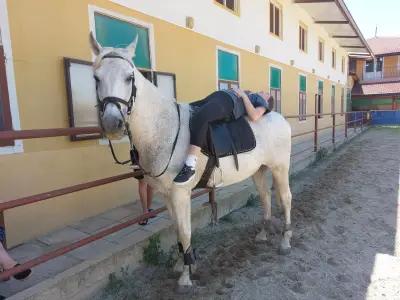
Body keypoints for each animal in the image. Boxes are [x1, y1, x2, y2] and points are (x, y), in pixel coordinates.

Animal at [89, 34, 292, 288]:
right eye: (96, 78)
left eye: (129, 77)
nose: (112, 124)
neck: (163, 128)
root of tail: (281, 118)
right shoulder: (167, 195)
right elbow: (177, 230)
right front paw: (182, 263)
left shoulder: (180, 194)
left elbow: (186, 232)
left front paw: (186, 277)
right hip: (259, 170)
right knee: (265, 197)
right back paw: (263, 234)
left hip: (280, 168)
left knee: (285, 198)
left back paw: (285, 241)